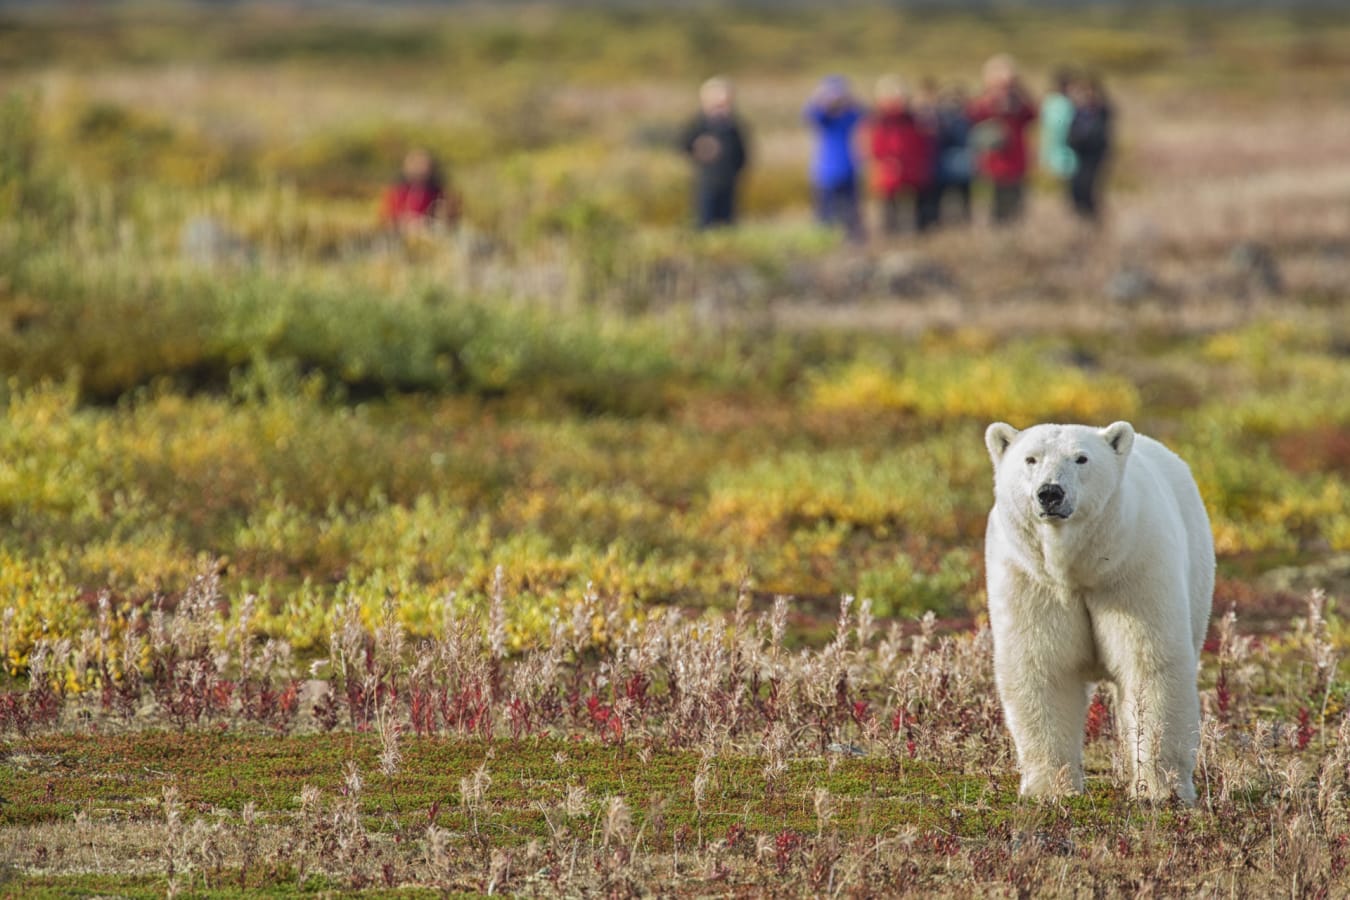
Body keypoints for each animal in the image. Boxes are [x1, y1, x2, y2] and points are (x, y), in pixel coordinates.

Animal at [983, 420, 1214, 805]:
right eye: (1031, 458)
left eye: (1081, 458)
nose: (1050, 493)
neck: (1079, 569)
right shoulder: (1032, 580)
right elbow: (1043, 666)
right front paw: (1051, 789)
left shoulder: (1133, 570)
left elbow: (1149, 665)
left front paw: (1160, 788)